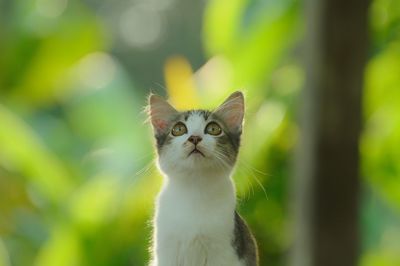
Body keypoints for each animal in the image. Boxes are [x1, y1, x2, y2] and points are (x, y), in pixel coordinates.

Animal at [148, 91, 258, 266]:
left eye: (213, 129)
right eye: (178, 129)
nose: (194, 137)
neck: (195, 189)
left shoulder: (225, 250)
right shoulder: (166, 249)